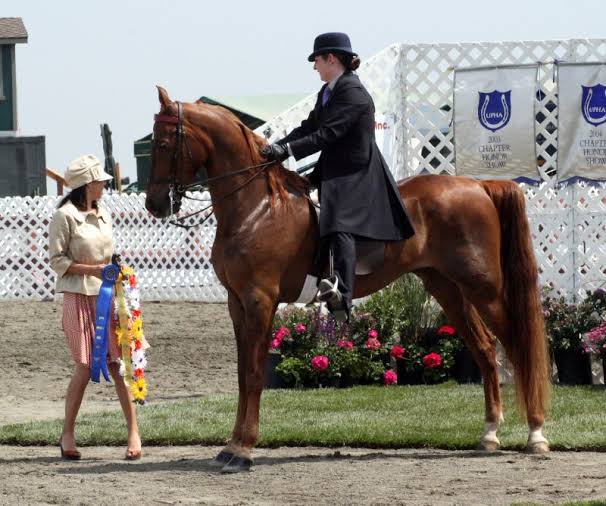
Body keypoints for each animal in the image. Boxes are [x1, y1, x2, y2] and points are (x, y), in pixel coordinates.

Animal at [146, 86, 552, 470]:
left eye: (163, 144)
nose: (155, 205)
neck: (257, 207)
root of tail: (478, 185)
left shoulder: (260, 300)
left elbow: (255, 373)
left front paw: (244, 450)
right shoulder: (237, 302)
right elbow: (242, 375)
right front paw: (230, 447)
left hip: (483, 288)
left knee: (517, 346)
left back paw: (536, 434)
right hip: (447, 287)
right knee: (485, 349)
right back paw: (490, 433)